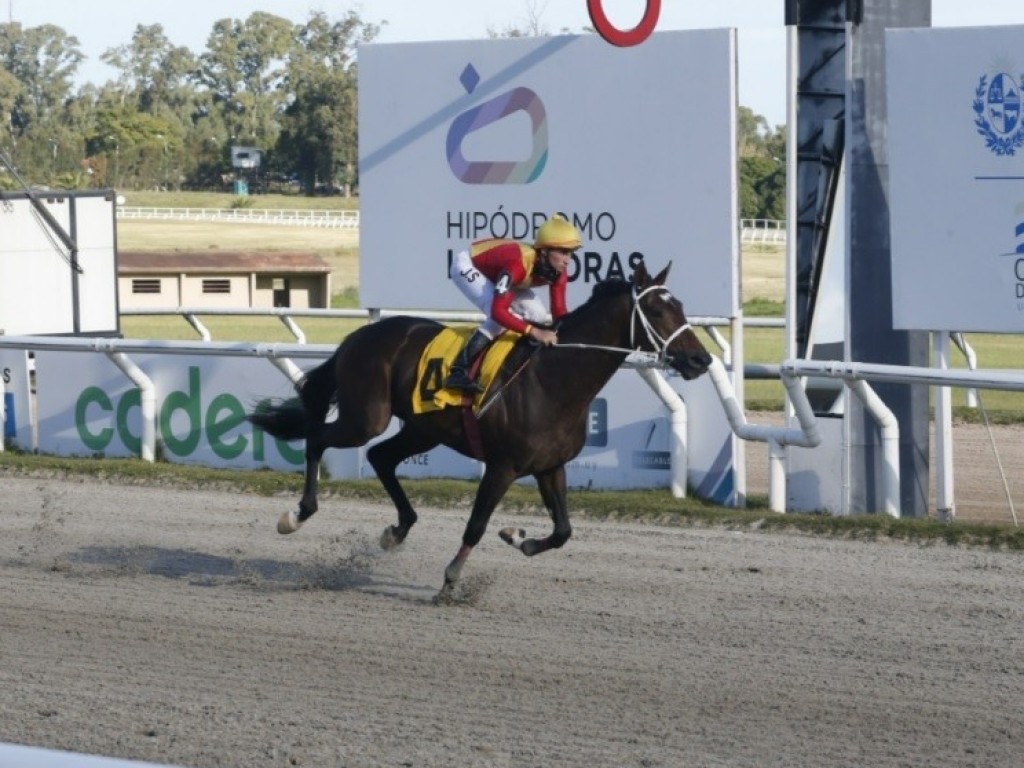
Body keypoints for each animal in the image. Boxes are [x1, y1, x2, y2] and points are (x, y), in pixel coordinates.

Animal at [247, 262, 712, 598]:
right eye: (657, 311)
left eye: (681, 306)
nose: (701, 360)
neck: (554, 378)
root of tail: (356, 337)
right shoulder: (502, 466)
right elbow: (475, 525)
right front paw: (451, 580)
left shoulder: (550, 466)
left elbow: (563, 531)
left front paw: (518, 537)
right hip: (366, 418)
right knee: (319, 439)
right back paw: (297, 515)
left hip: (424, 428)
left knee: (380, 457)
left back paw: (397, 530)